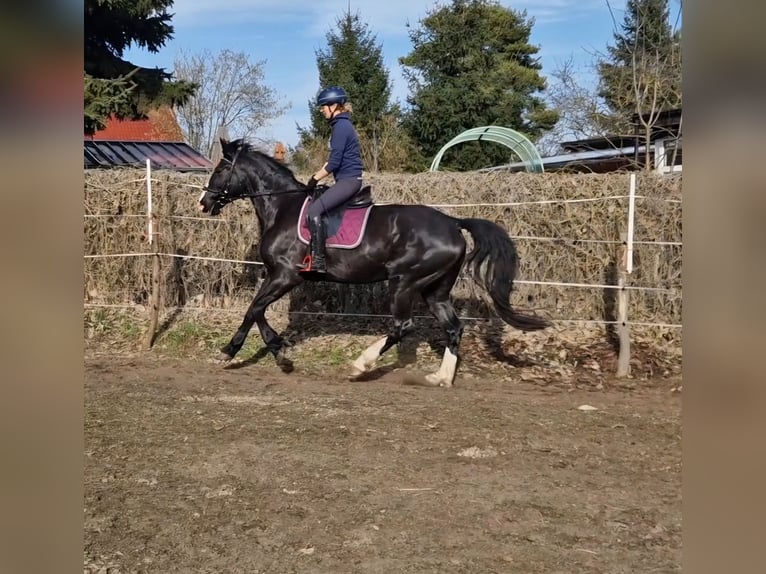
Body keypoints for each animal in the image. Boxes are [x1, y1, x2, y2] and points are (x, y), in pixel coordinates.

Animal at [198, 138, 549, 387]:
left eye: (220, 170)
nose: (204, 202)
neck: (282, 207)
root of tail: (452, 222)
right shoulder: (279, 276)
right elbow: (258, 311)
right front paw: (279, 352)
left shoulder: (286, 275)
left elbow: (253, 309)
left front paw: (231, 352)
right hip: (435, 289)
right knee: (453, 327)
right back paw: (440, 378)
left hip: (405, 282)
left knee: (402, 326)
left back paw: (360, 365)